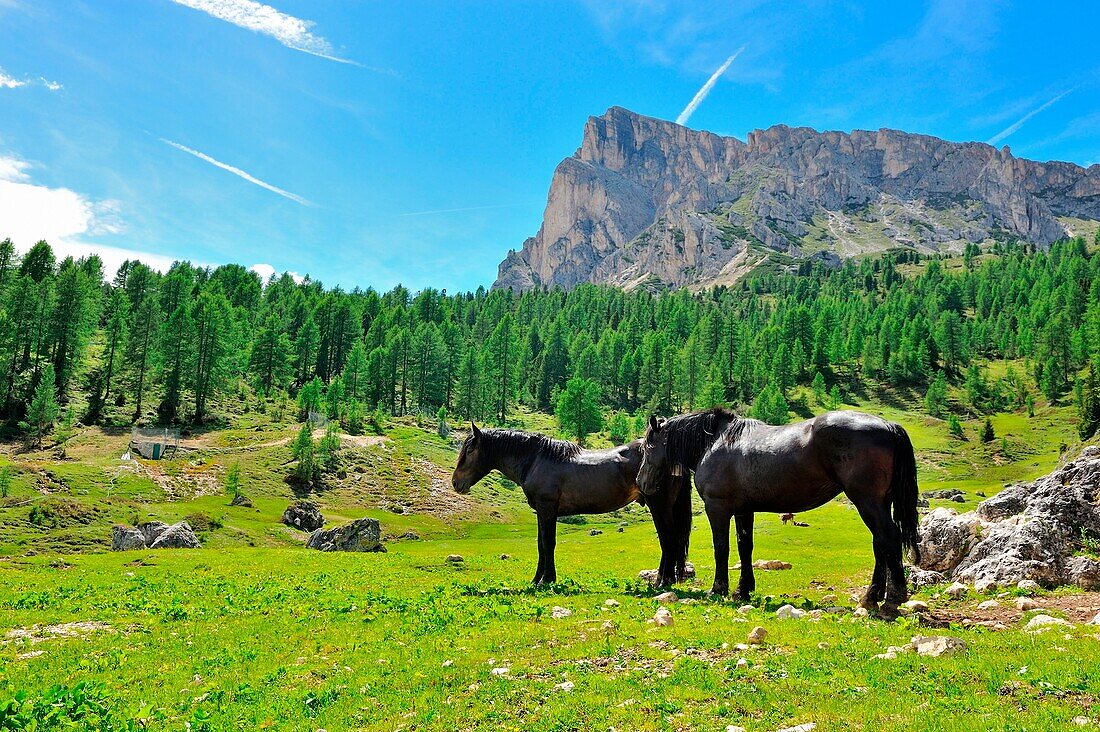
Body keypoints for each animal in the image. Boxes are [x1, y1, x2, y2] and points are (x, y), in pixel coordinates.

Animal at [446, 422, 686, 581]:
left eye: (469, 450)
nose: (456, 482)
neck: (536, 460)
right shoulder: (541, 511)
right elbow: (540, 544)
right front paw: (537, 579)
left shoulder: (547, 508)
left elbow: (548, 542)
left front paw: (547, 579)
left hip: (659, 505)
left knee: (669, 539)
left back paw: (664, 581)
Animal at [638, 405, 919, 616]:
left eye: (647, 448)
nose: (641, 483)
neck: (714, 443)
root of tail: (888, 426)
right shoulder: (744, 510)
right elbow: (744, 547)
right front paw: (743, 590)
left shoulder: (717, 507)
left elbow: (721, 548)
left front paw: (718, 589)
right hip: (878, 503)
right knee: (880, 543)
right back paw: (871, 597)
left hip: (867, 501)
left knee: (888, 539)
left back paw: (892, 600)